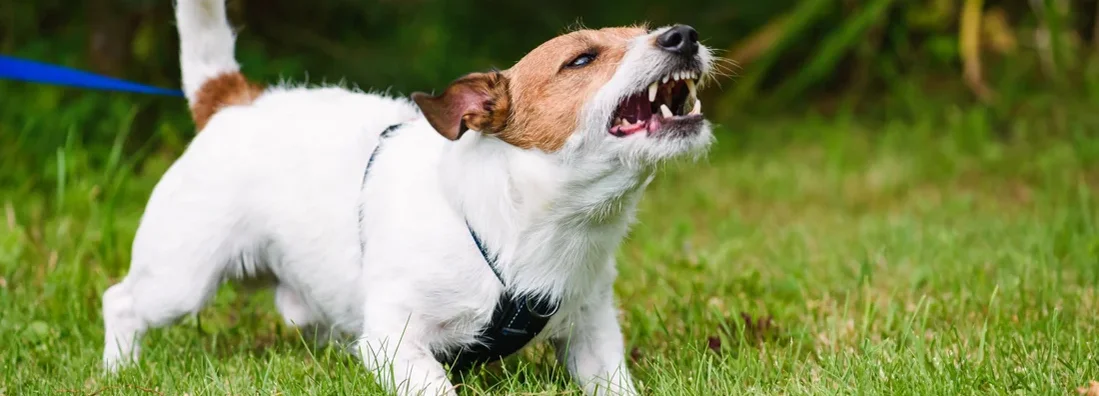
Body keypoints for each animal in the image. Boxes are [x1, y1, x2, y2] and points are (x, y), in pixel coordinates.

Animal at [103, 0, 716, 393]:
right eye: (582, 60)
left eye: (645, 30)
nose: (683, 35)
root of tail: (233, 101)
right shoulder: (395, 341)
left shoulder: (592, 332)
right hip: (181, 278)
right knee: (122, 301)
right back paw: (118, 371)